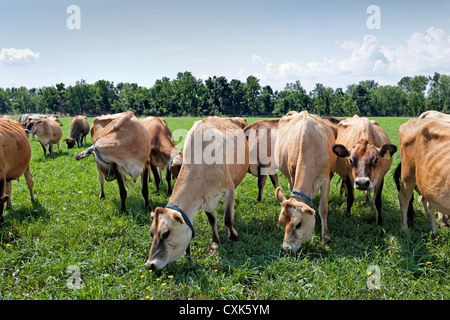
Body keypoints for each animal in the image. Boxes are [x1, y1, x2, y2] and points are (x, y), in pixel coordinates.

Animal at [145, 115, 248, 270]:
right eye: (151, 234)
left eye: (165, 233)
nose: (149, 265)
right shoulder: (204, 198)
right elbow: (212, 220)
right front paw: (215, 242)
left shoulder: (229, 188)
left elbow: (228, 218)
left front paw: (234, 236)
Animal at [272, 110, 336, 252]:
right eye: (281, 222)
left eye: (298, 224)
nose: (285, 249)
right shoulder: (292, 175)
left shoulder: (326, 179)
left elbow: (323, 209)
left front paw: (326, 238)